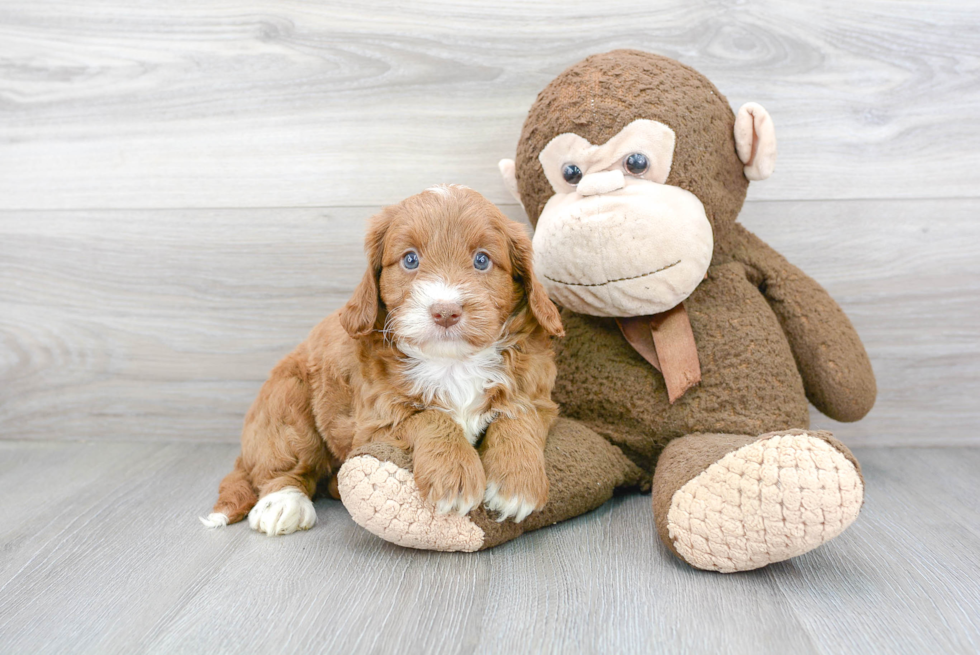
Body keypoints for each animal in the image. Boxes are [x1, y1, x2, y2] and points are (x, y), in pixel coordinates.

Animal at [202, 186, 564, 540]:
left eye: (482, 260)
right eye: (410, 259)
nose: (445, 311)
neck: (452, 362)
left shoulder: (537, 395)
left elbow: (518, 416)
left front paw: (517, 481)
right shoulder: (376, 421)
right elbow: (430, 416)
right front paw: (454, 474)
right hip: (287, 396)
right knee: (283, 464)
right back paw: (282, 504)